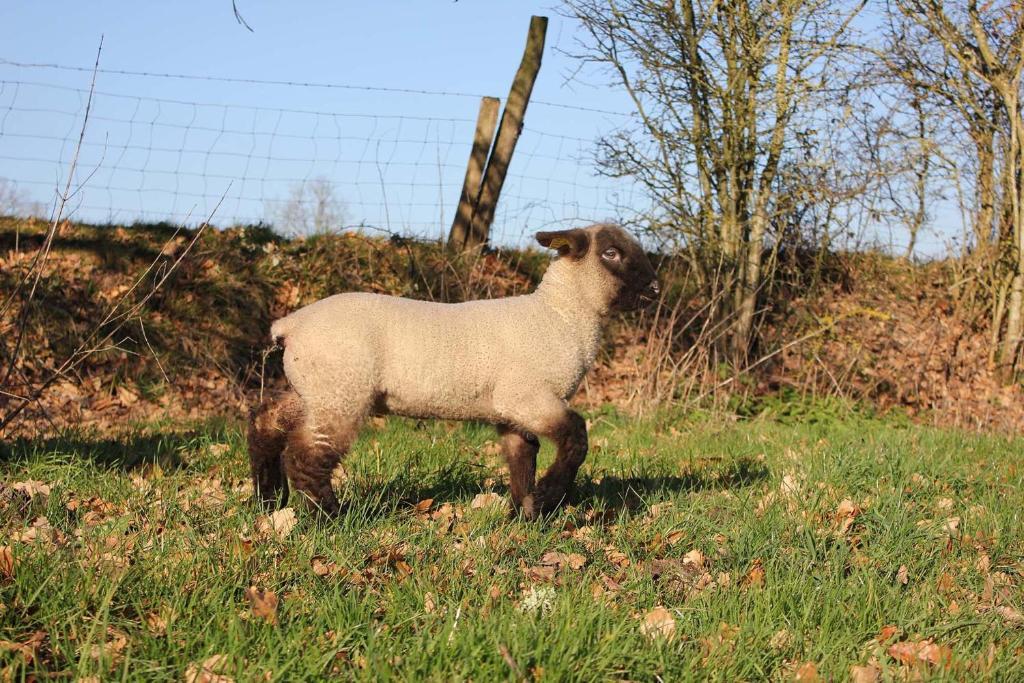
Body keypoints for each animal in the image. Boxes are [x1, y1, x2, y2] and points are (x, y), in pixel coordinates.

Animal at [251, 223, 659, 518]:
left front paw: (524, 515)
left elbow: (522, 458)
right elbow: (576, 437)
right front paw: (548, 498)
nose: (655, 287)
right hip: (341, 393)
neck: (560, 316)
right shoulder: (526, 396)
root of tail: (291, 325)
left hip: (316, 390)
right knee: (306, 456)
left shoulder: (511, 411)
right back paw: (330, 517)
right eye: (611, 253)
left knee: (264, 421)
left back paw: (267, 499)